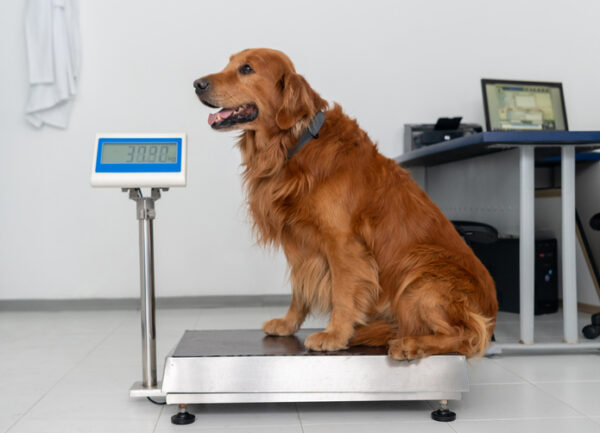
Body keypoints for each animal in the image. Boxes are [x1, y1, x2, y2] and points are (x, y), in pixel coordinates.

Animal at [193, 48, 496, 358]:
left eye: (246, 69)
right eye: (229, 63)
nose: (197, 84)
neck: (295, 144)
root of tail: (493, 312)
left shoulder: (342, 243)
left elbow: (342, 292)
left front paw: (334, 334)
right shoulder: (299, 242)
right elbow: (299, 289)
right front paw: (289, 324)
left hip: (419, 271)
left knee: (467, 336)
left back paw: (410, 344)